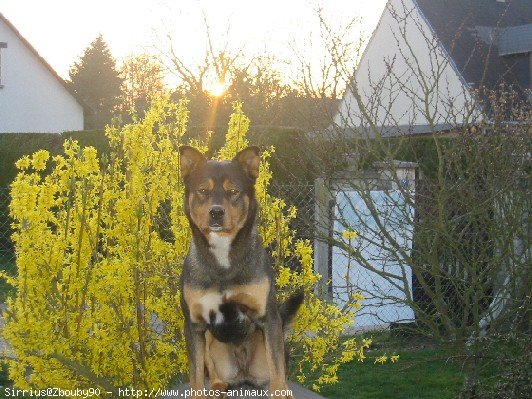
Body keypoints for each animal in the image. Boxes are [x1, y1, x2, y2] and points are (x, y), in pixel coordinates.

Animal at [179, 147, 296, 399]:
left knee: (277, 371)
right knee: (213, 369)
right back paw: (217, 385)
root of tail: (243, 373)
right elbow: (195, 376)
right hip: (212, 344)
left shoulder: (269, 318)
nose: (216, 212)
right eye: (203, 190)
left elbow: (277, 370)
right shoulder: (194, 324)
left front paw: (281, 391)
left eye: (233, 191)